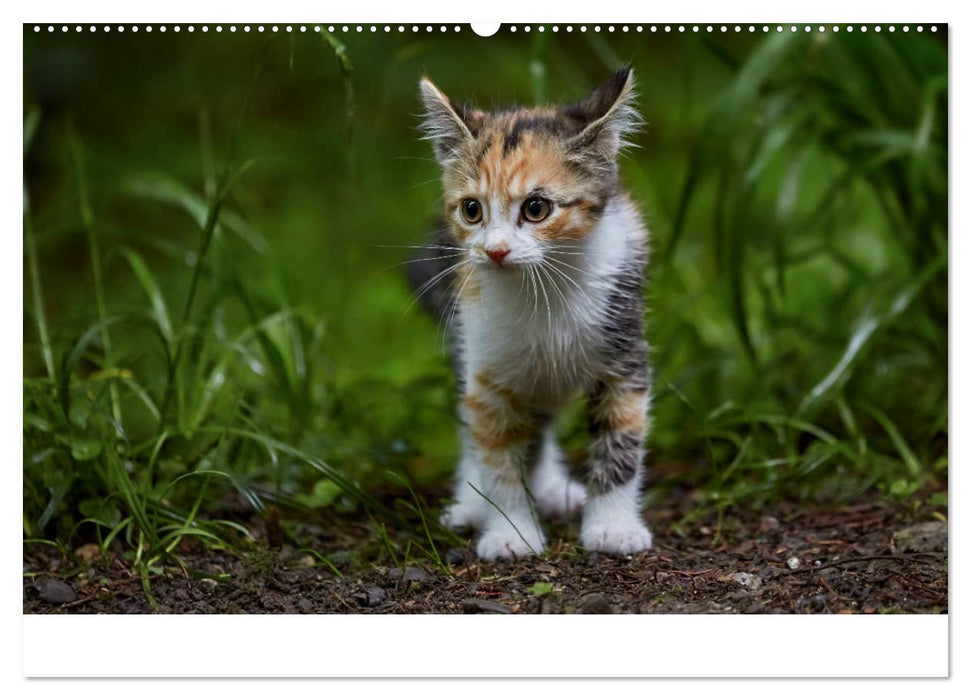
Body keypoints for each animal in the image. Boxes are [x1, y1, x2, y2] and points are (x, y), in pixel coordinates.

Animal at [410, 68, 652, 560]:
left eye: (536, 208)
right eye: (472, 209)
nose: (496, 250)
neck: (543, 289)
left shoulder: (625, 351)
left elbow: (621, 439)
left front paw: (613, 527)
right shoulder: (485, 366)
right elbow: (496, 454)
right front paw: (510, 531)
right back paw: (472, 503)